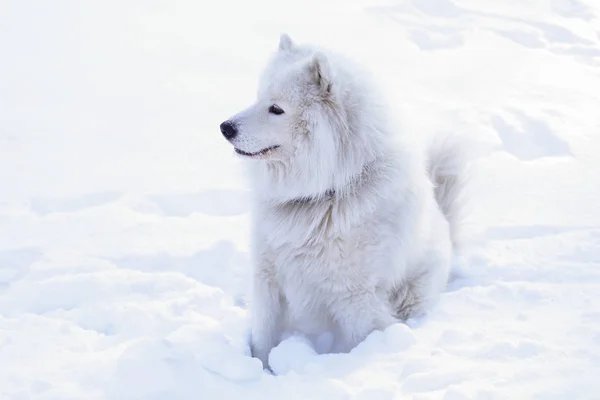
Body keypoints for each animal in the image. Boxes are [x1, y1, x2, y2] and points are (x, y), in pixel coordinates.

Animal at [219, 34, 468, 368]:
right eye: (258, 98)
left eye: (276, 109)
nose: (225, 127)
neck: (325, 194)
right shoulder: (267, 278)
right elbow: (263, 337)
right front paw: (261, 368)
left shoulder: (355, 299)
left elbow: (359, 341)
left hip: (411, 295)